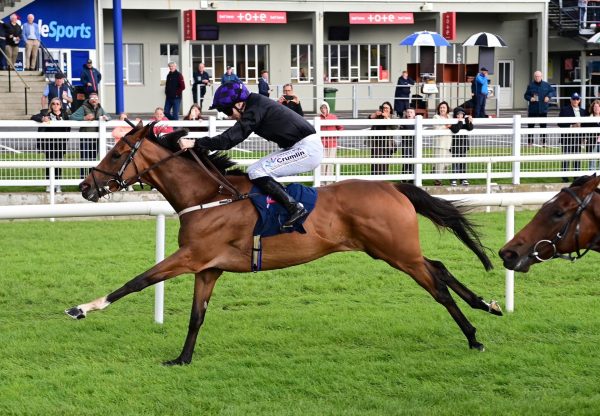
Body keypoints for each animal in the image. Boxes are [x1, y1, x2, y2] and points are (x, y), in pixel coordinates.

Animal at [69, 122, 502, 366]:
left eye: (118, 153)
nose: (85, 186)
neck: (208, 196)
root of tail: (392, 186)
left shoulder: (191, 257)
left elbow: (137, 281)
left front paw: (83, 308)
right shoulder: (209, 268)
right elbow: (196, 317)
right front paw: (183, 358)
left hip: (397, 252)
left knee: (437, 287)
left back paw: (474, 336)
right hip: (393, 250)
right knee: (439, 266)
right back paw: (486, 305)